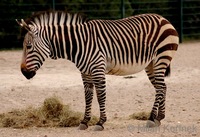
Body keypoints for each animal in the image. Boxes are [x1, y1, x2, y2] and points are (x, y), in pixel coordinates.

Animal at [16, 10, 178, 131]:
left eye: (28, 47)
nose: (24, 72)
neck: (78, 44)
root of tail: (163, 18)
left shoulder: (97, 69)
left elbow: (100, 96)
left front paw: (100, 122)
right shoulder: (85, 72)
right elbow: (88, 97)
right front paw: (84, 122)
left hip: (161, 58)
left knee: (160, 87)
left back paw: (151, 119)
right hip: (150, 65)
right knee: (162, 87)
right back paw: (158, 118)